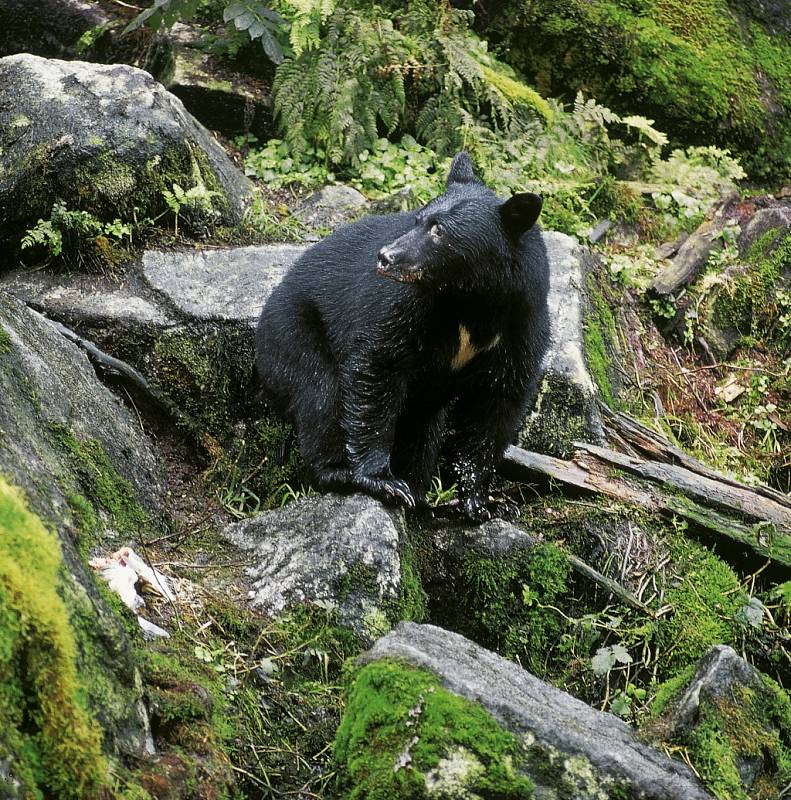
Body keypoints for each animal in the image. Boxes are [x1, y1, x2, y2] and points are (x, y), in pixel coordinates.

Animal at [260, 153, 552, 520]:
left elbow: (497, 403)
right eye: (418, 220)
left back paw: (422, 495)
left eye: (439, 231)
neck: (471, 301)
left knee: (424, 427)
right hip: (294, 332)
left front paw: (481, 503)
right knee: (321, 395)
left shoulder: (522, 324)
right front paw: (383, 481)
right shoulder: (407, 305)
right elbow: (378, 365)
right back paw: (339, 472)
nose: (386, 256)